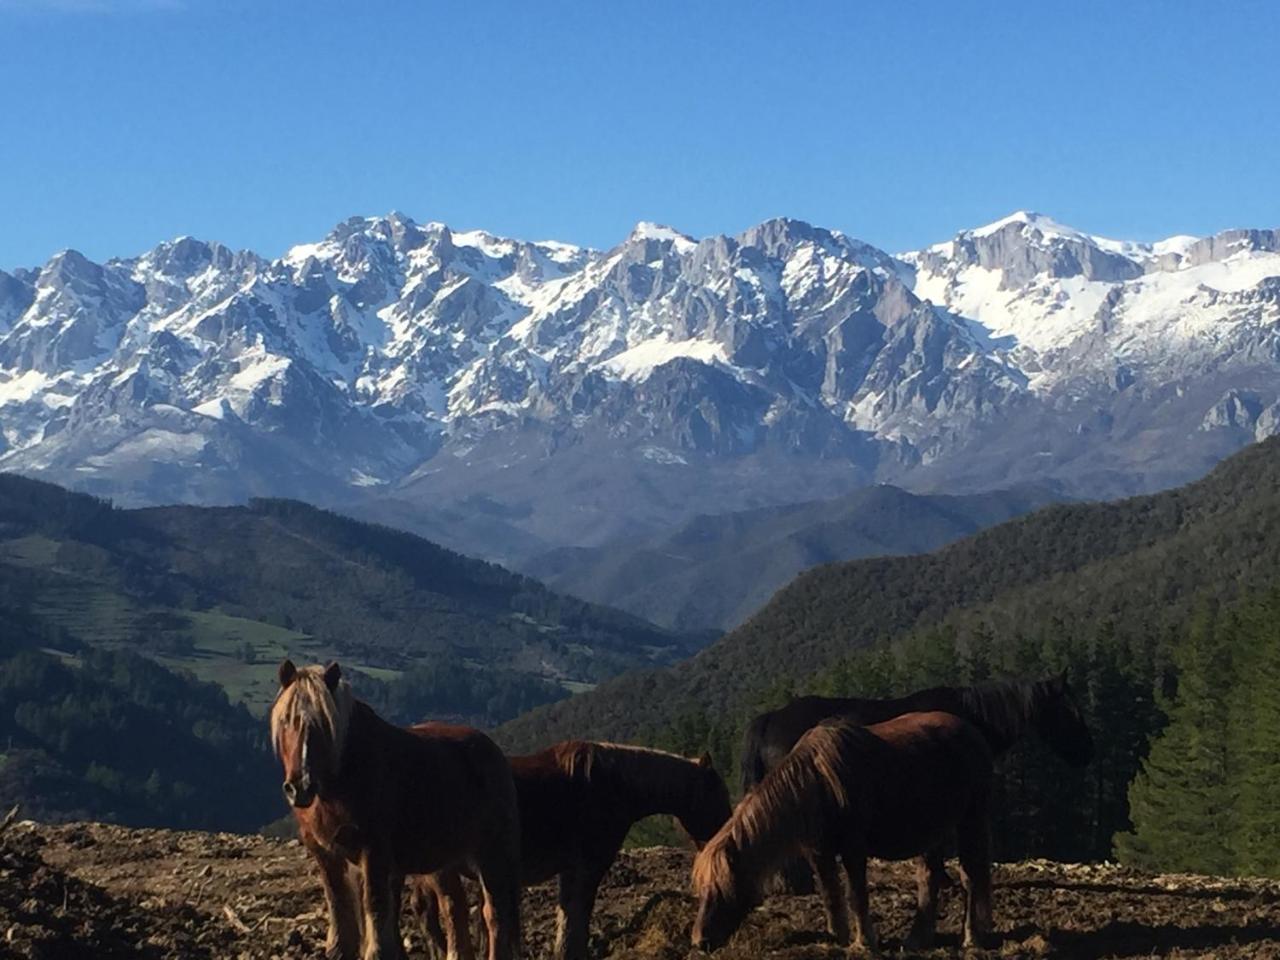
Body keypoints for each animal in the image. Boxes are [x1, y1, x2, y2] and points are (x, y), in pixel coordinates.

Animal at [272, 660, 522, 960]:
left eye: (324, 725)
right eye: (286, 721)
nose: (300, 787)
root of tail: (494, 752)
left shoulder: (373, 852)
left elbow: (375, 906)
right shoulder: (326, 854)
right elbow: (339, 906)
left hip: (491, 854)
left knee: (494, 915)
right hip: (446, 862)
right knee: (455, 910)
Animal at [409, 742, 732, 957]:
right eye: (717, 794)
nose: (726, 834)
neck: (613, 785)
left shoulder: (571, 868)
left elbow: (567, 914)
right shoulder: (589, 865)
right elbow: (579, 912)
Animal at [696, 716, 993, 957]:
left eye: (724, 886)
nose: (700, 941)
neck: (817, 783)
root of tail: (973, 733)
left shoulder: (853, 850)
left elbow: (855, 895)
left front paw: (863, 943)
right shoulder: (819, 852)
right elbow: (831, 894)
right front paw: (837, 939)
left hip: (972, 821)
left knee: (972, 875)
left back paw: (972, 938)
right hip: (933, 831)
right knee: (930, 878)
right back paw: (917, 940)